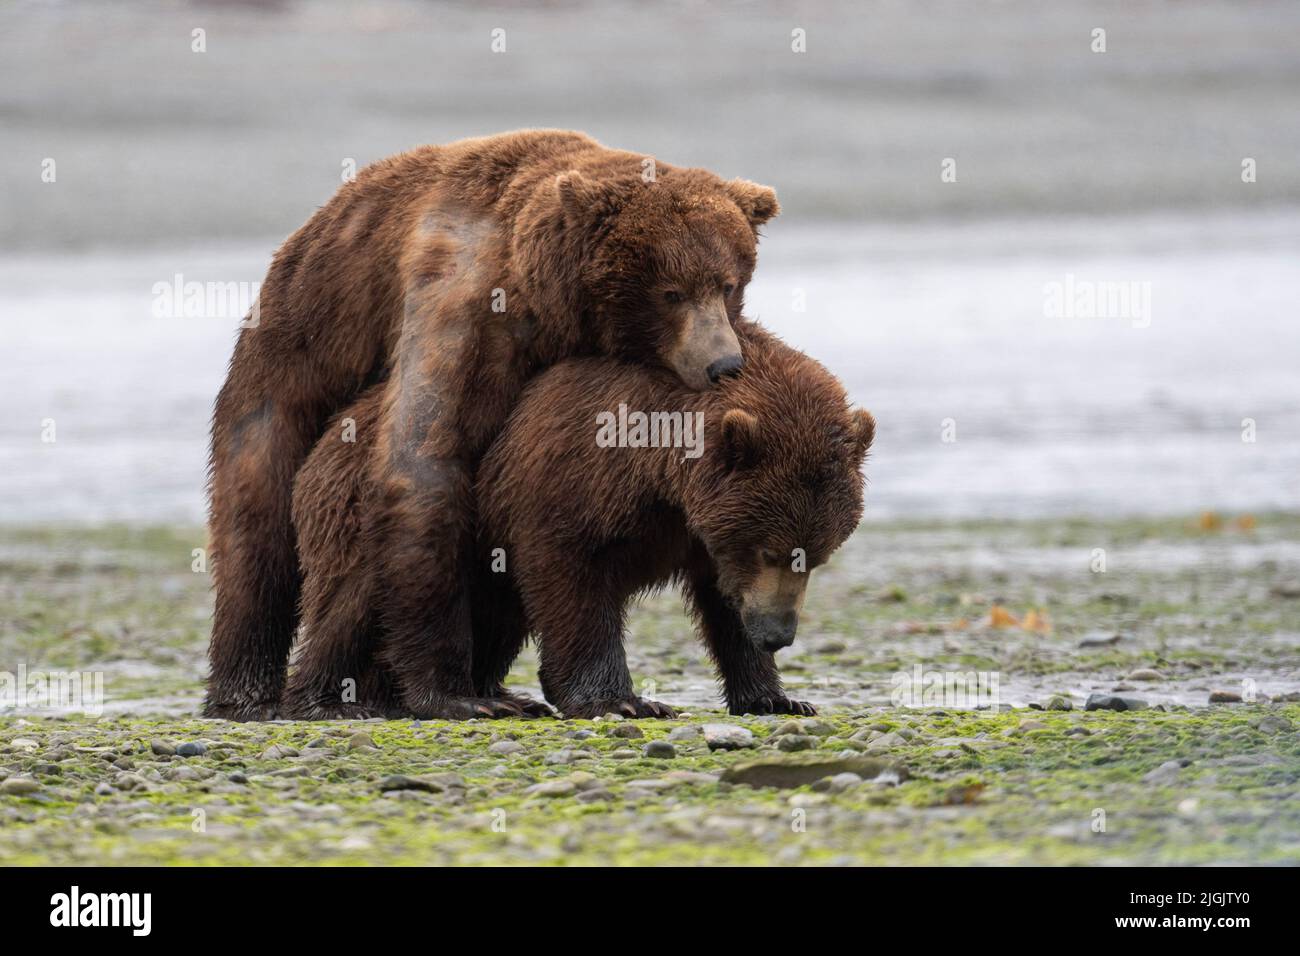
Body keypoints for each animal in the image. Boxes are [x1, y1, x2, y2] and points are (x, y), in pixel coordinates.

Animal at [206, 129, 780, 720]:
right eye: (671, 291)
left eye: (728, 283)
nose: (723, 363)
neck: (552, 296)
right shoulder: (471, 307)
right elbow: (426, 461)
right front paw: (451, 693)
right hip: (292, 358)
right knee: (257, 524)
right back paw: (259, 694)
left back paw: (497, 688)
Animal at [282, 319, 873, 720]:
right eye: (770, 548)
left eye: (815, 556)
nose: (778, 633)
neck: (664, 476)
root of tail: (333, 431)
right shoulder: (576, 469)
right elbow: (571, 571)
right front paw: (621, 700)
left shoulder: (702, 530)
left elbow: (723, 600)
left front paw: (778, 697)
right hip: (370, 505)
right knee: (362, 598)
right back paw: (341, 699)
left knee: (498, 613)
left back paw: (496, 693)